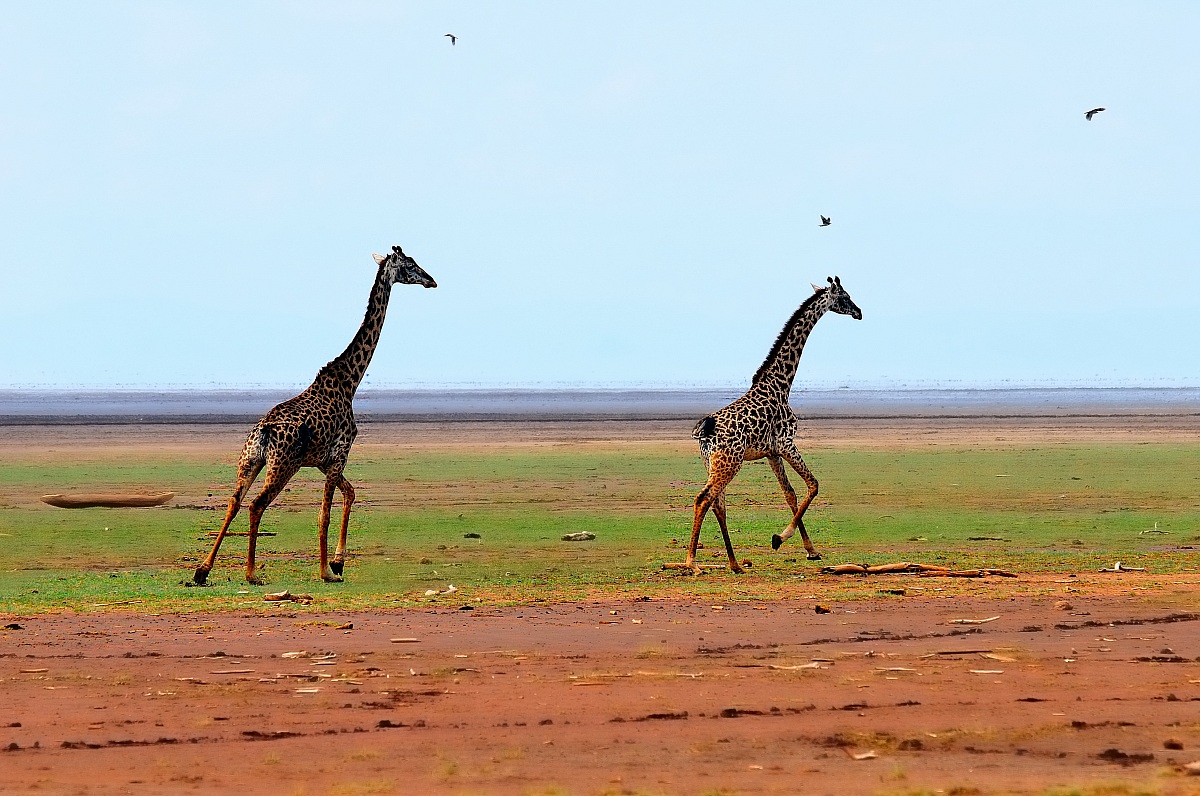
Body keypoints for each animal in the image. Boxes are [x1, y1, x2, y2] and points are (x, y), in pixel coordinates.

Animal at [193, 245, 437, 585]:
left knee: (233, 502)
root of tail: (264, 432)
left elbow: (351, 494)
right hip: (283, 465)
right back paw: (252, 574)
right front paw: (326, 571)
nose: (432, 280)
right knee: (255, 505)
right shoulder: (339, 455)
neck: (350, 381)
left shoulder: (323, 460)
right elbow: (325, 513)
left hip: (250, 460)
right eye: (411, 264)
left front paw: (338, 562)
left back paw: (202, 570)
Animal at [683, 276, 862, 574]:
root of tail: (705, 430)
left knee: (718, 503)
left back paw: (735, 564)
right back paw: (692, 562)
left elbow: (790, 494)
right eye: (845, 297)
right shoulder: (787, 443)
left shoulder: (771, 452)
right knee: (704, 498)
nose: (859, 312)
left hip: (713, 463)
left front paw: (811, 550)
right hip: (730, 463)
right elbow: (813, 485)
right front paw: (781, 538)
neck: (781, 385)